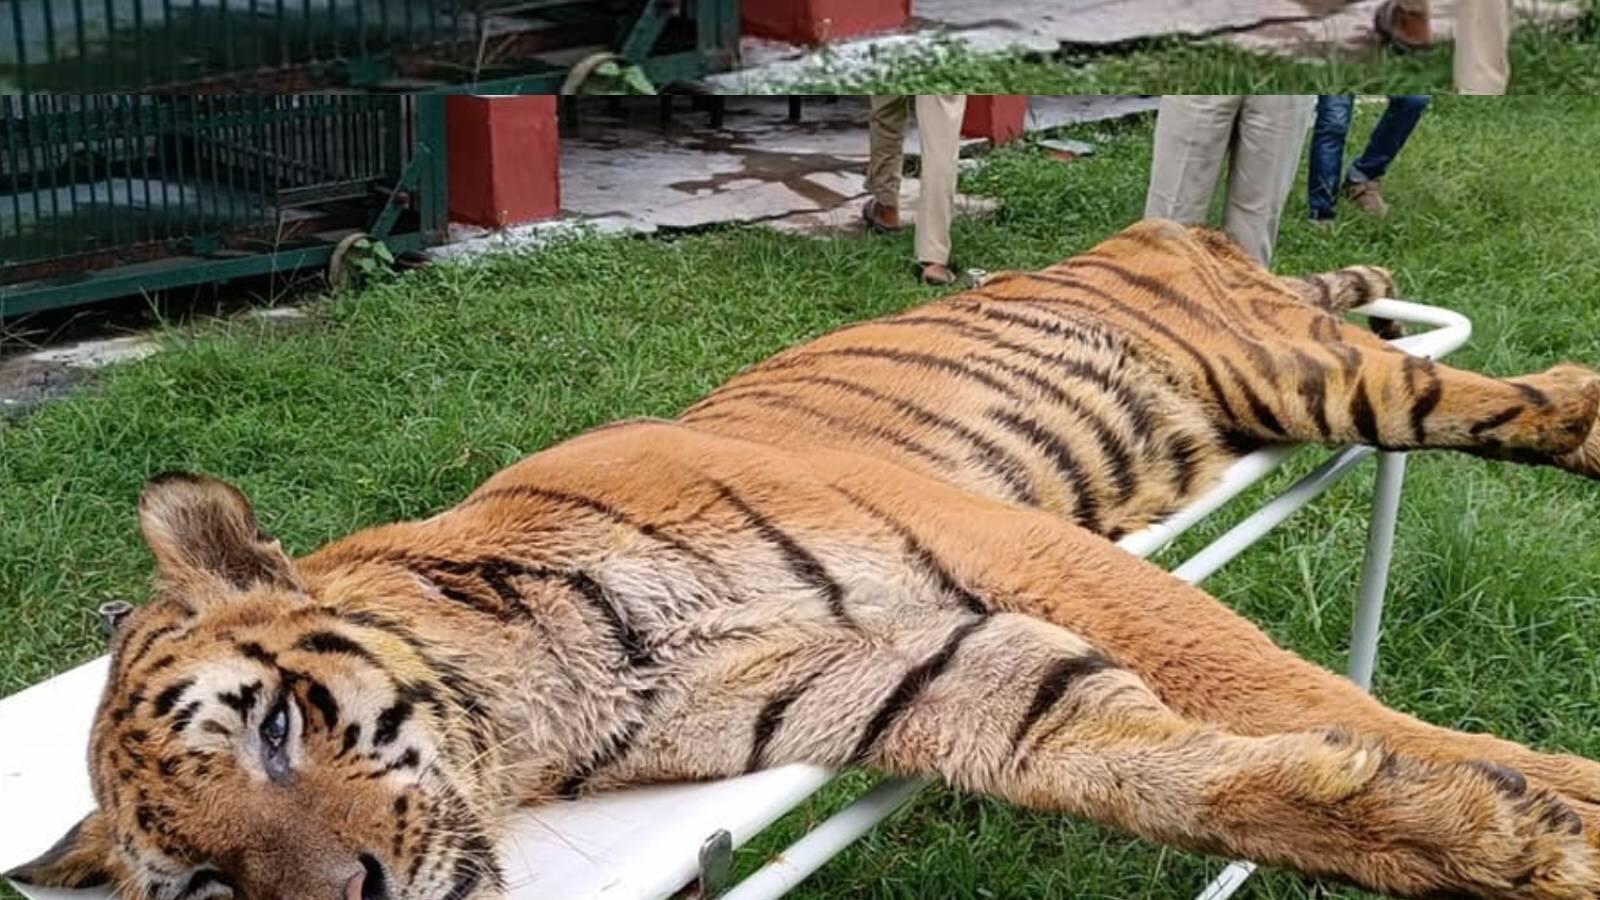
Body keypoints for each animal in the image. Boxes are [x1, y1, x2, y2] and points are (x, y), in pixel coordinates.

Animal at [11, 217, 1600, 900]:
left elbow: (1273, 682)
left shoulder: (1006, 545)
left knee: (1532, 397)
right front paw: (1488, 834)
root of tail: (1163, 223)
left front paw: (1552, 793)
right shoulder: (932, 672)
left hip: (1314, 375)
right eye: (203, 888)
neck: (539, 711)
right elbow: (1186, 777)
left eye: (273, 729)